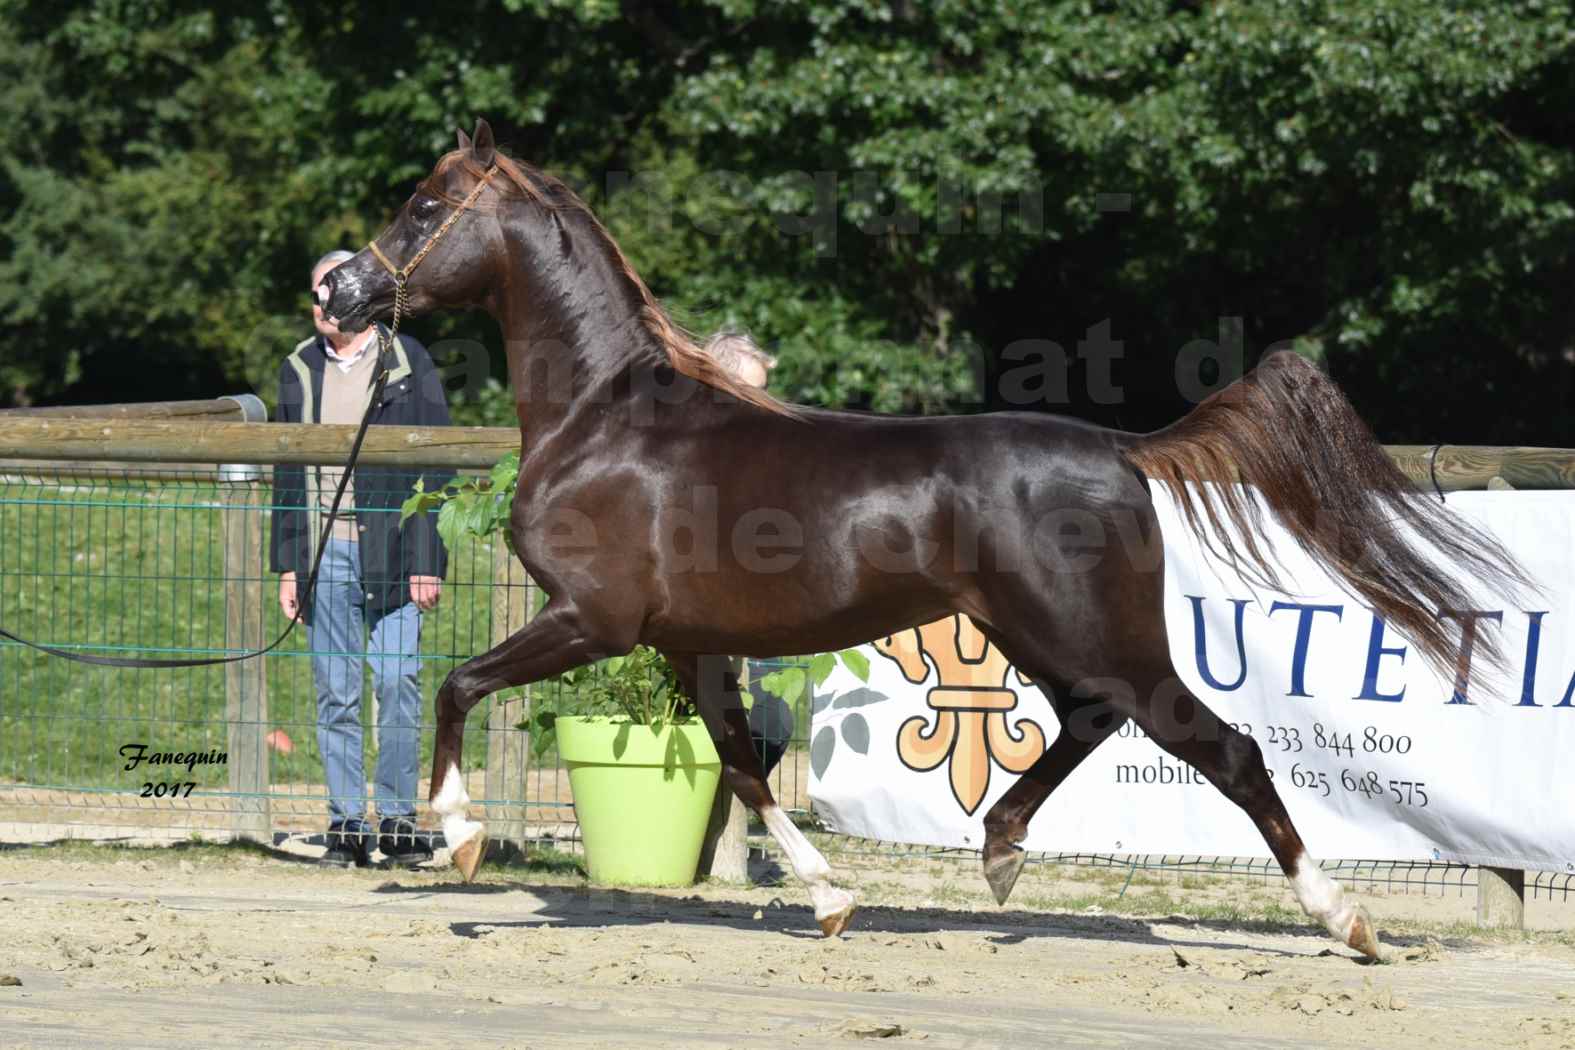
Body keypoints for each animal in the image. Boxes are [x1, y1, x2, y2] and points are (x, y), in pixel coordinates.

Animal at [316, 118, 1524, 957]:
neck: (607, 419)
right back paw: (997, 852)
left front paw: (460, 836)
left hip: (1101, 638)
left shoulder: (593, 622)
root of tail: (1123, 452)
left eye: (425, 205)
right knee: (1087, 725)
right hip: (1036, 634)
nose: (340, 292)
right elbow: (743, 768)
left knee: (1223, 748)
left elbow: (458, 685)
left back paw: (1346, 921)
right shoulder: (684, 642)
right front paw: (832, 899)